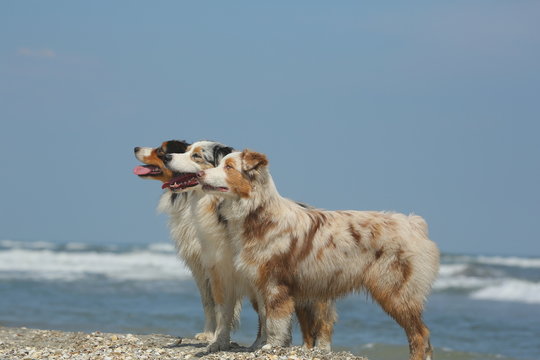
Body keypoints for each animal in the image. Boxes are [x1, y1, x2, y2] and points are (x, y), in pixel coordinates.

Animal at [163, 141, 338, 352]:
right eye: (187, 150)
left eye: (196, 155)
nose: (166, 157)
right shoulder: (220, 271)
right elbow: (222, 311)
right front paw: (218, 342)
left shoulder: (262, 275)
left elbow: (266, 314)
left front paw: (266, 343)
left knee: (323, 319)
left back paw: (321, 348)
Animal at [196, 149, 440, 360]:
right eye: (219, 164)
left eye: (228, 167)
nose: (199, 174)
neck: (259, 213)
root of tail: (413, 224)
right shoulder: (261, 283)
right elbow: (265, 319)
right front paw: (261, 345)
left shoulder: (276, 285)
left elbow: (275, 322)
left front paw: (271, 346)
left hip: (395, 291)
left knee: (420, 335)